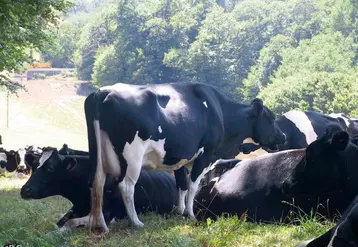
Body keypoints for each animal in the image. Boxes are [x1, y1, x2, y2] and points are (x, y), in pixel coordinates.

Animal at [19, 148, 179, 231]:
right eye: (33, 166)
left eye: (50, 168)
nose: (25, 190)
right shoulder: (77, 206)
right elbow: (62, 220)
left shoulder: (106, 212)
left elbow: (69, 222)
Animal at [84, 82, 286, 232]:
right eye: (271, 118)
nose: (283, 136)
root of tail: (103, 91)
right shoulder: (205, 154)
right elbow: (193, 185)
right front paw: (190, 214)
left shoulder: (181, 156)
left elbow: (181, 184)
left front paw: (179, 211)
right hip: (132, 156)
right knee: (126, 186)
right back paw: (136, 222)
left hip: (99, 155)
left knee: (97, 183)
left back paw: (100, 225)